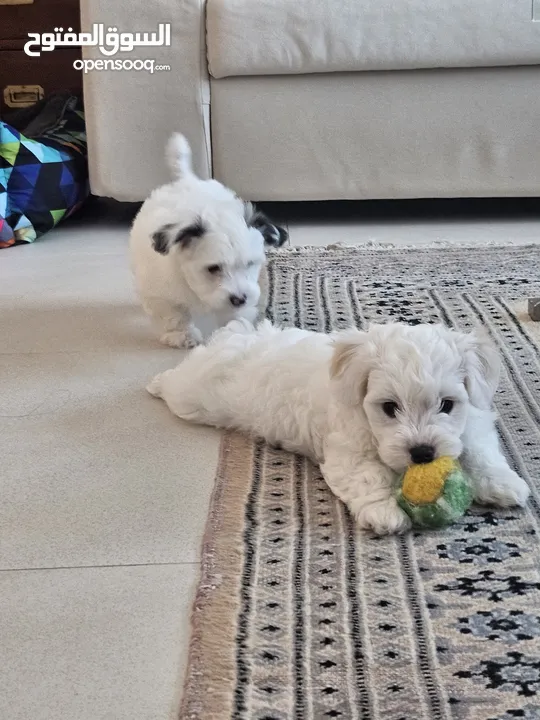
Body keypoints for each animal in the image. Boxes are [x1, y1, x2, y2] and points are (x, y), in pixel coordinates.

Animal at [129, 136, 286, 350]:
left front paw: (234, 331)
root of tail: (185, 180)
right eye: (213, 268)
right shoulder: (161, 291)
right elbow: (173, 314)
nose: (239, 299)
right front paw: (182, 335)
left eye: (250, 264)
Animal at [147, 320, 528, 536]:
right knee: (177, 383)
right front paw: (384, 512)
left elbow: (481, 450)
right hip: (196, 396)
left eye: (447, 405)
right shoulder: (349, 450)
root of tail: (233, 340)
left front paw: (505, 484)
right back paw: (156, 382)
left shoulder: (474, 419)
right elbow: (368, 476)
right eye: (389, 408)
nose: (422, 453)